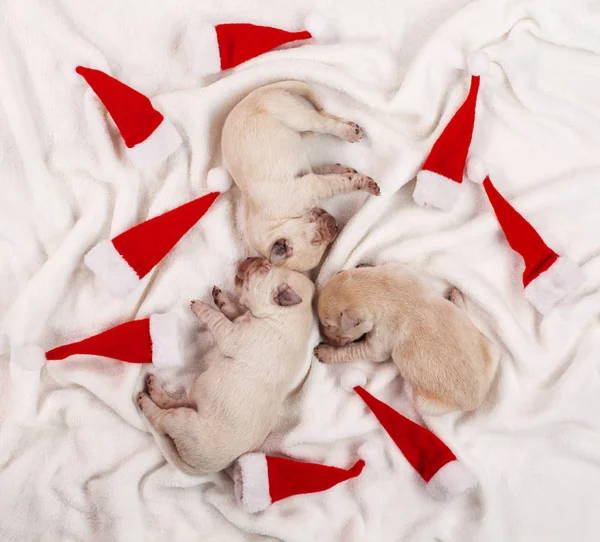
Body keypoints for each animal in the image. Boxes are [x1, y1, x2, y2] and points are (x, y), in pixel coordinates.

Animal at [136, 258, 314, 476]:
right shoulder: (243, 316)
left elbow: (218, 319)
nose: (250, 258)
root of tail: (203, 468)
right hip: (195, 399)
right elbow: (233, 310)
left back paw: (146, 400)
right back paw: (154, 388)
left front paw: (201, 306)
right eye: (269, 264)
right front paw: (220, 298)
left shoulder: (233, 335)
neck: (289, 313)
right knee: (174, 402)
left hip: (187, 424)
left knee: (163, 419)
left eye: (264, 268)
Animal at [220, 80, 380, 272]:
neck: (280, 221)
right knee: (324, 119)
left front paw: (365, 183)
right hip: (300, 124)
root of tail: (256, 93)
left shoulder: (314, 186)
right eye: (318, 242)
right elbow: (326, 171)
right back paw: (349, 127)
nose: (335, 224)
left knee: (324, 124)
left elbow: (342, 183)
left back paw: (350, 132)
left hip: (294, 115)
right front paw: (344, 169)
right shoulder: (310, 177)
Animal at [314, 264, 496, 416]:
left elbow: (356, 351)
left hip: (427, 403)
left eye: (328, 325)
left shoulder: (380, 340)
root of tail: (480, 399)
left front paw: (325, 352)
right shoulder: (404, 271)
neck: (380, 289)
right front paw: (364, 264)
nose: (321, 334)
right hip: (491, 351)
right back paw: (457, 299)